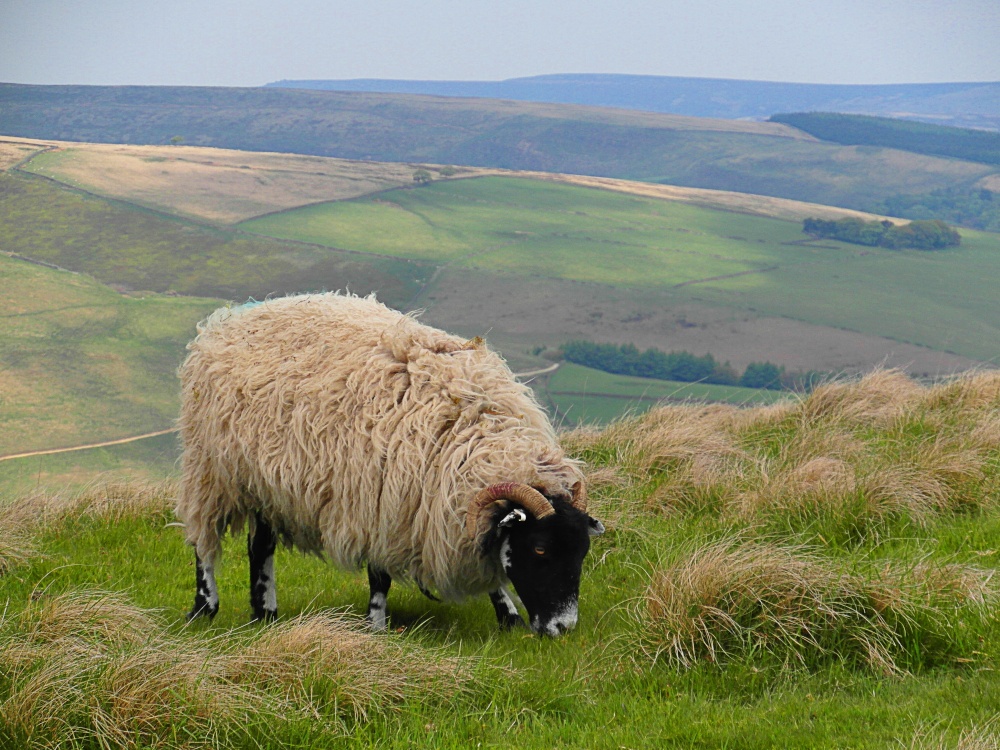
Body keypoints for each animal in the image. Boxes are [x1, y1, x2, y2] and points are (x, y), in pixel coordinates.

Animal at [176, 292, 604, 636]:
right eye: (540, 550)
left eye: (582, 552)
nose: (563, 628)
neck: (475, 432)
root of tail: (237, 313)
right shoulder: (382, 506)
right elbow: (379, 577)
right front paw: (377, 627)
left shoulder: (446, 514)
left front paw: (509, 616)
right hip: (210, 468)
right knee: (203, 542)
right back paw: (204, 607)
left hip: (263, 479)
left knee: (260, 545)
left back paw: (265, 612)